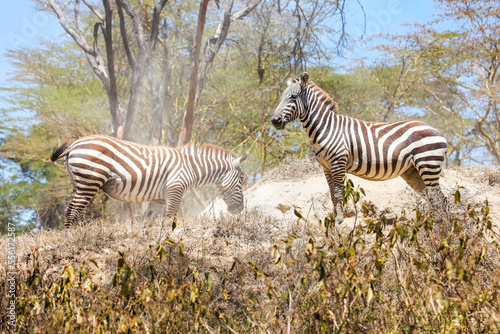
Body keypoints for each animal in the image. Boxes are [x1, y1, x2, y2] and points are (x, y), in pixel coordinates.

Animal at [49, 135, 249, 227]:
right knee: (71, 211)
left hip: (79, 184)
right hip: (89, 181)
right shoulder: (175, 189)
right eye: (242, 179)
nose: (239, 210)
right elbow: (169, 218)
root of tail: (74, 144)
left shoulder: (159, 197)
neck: (191, 167)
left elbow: (151, 220)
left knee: (77, 211)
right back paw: (73, 235)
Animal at [272, 73, 448, 224]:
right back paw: (432, 223)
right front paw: (333, 220)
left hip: (428, 164)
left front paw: (339, 220)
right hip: (412, 171)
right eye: (281, 98)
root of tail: (439, 132)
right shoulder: (325, 167)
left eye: (293, 97)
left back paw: (441, 225)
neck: (326, 127)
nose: (275, 121)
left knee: (439, 198)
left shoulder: (338, 162)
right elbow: (332, 195)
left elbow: (338, 193)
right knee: (434, 197)